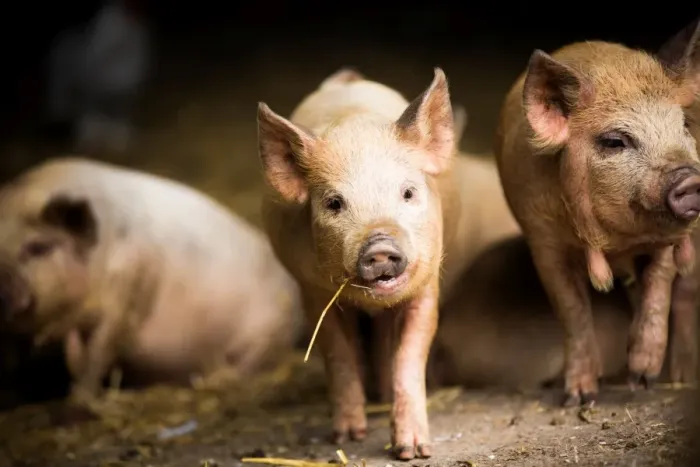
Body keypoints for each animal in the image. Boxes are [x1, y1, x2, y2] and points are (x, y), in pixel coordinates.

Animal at [0, 157, 303, 403]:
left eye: (38, 248)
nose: (6, 293)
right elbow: (71, 358)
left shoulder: (132, 285)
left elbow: (100, 350)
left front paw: (80, 400)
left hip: (270, 325)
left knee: (255, 358)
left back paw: (217, 380)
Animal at [257, 67, 462, 460]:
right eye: (334, 203)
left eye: (408, 192)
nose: (379, 246)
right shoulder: (314, 292)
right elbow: (338, 353)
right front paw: (347, 437)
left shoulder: (427, 286)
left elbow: (410, 355)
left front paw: (413, 451)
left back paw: (381, 394)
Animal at [494, 22, 700, 406]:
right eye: (615, 141)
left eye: (683, 126)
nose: (689, 178)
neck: (618, 243)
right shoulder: (542, 240)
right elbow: (572, 309)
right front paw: (579, 397)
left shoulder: (669, 239)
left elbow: (659, 288)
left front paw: (642, 378)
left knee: (684, 297)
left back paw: (677, 379)